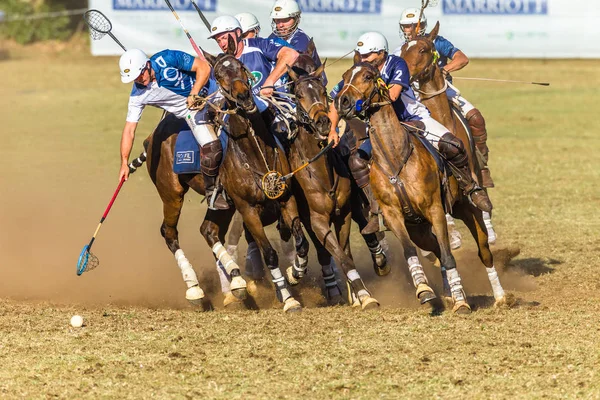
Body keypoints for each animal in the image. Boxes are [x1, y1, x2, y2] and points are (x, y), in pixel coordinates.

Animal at [336, 55, 508, 312]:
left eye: (367, 76)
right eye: (345, 76)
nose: (342, 101)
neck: (395, 157)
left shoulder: (435, 209)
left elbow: (448, 255)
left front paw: (461, 301)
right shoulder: (394, 214)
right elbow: (410, 252)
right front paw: (424, 289)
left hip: (467, 208)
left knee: (483, 249)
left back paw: (499, 296)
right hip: (419, 227)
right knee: (434, 248)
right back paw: (447, 291)